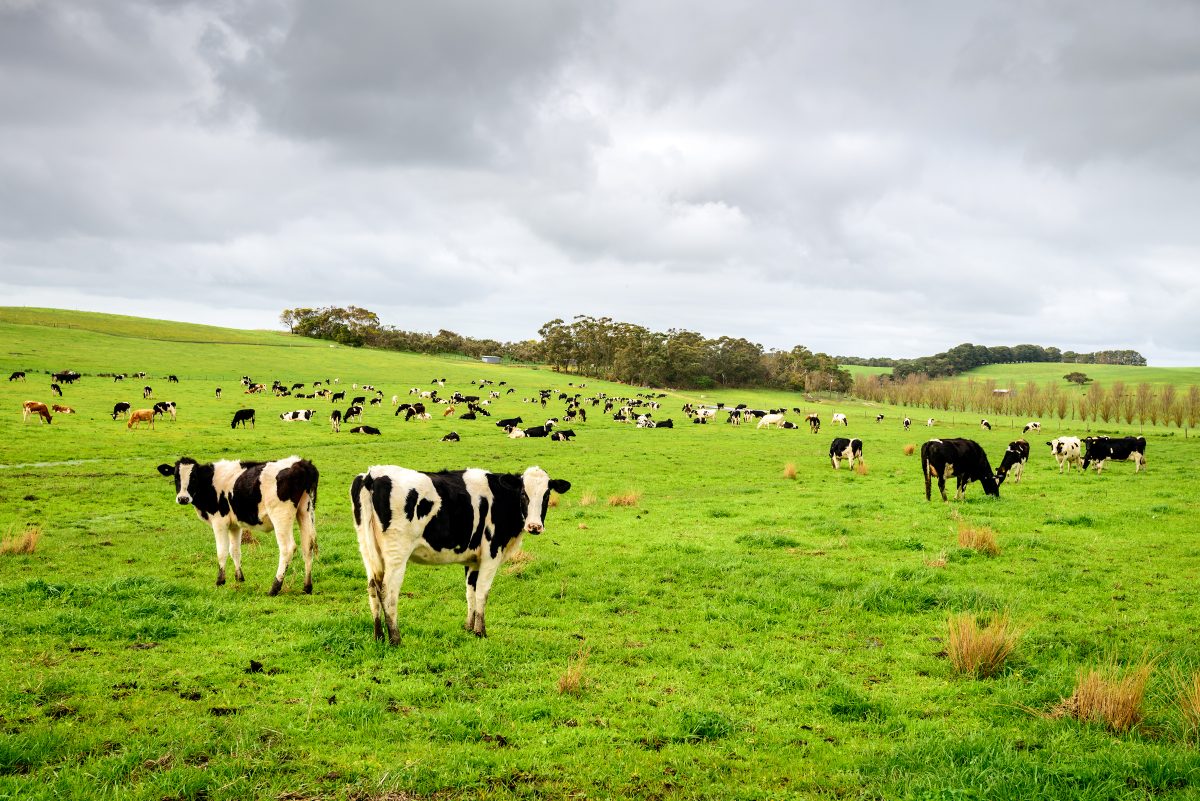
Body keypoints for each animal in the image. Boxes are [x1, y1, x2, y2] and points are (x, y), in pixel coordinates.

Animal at [154, 455, 319, 594]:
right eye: (176, 477)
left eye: (193, 477)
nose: (182, 498)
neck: (209, 482)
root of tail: (301, 462)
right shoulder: (234, 525)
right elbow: (235, 550)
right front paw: (239, 578)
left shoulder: (219, 522)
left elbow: (221, 551)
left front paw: (220, 581)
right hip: (305, 511)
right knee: (307, 546)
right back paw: (307, 587)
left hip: (281, 516)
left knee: (287, 548)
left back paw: (275, 588)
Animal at [348, 462, 571, 642]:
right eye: (524, 494)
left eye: (546, 494)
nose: (534, 526)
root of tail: (372, 474)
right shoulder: (491, 554)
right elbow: (482, 592)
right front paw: (481, 632)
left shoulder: (473, 560)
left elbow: (470, 593)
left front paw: (469, 628)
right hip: (396, 554)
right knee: (388, 591)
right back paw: (395, 639)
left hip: (367, 550)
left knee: (372, 588)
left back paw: (378, 636)